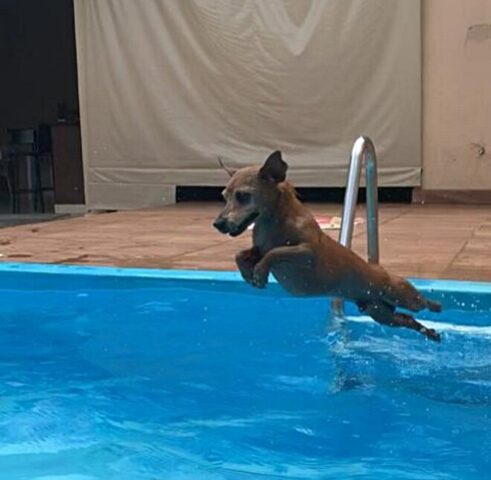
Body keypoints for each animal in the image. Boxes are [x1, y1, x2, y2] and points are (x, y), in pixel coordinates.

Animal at [213, 150, 444, 342]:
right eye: (224, 197)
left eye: (243, 196)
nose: (218, 223)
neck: (273, 222)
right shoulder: (257, 248)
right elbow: (242, 254)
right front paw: (247, 273)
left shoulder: (307, 253)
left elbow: (275, 252)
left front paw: (260, 272)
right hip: (379, 313)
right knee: (408, 319)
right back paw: (430, 333)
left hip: (400, 295)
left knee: (419, 303)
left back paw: (435, 305)